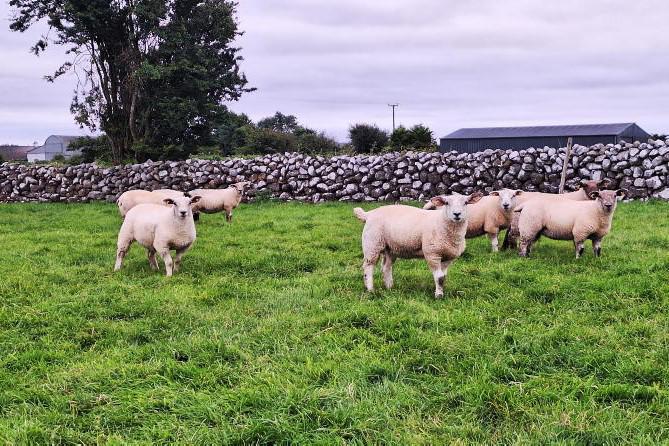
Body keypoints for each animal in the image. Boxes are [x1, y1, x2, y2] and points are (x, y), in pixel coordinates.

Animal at [354, 192, 483, 298]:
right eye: (446, 203)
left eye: (466, 202)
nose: (457, 214)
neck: (441, 222)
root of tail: (369, 214)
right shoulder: (432, 254)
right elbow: (439, 277)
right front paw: (438, 296)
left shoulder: (448, 257)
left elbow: (443, 277)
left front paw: (441, 291)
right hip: (372, 244)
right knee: (368, 267)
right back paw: (371, 289)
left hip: (390, 248)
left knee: (386, 267)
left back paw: (389, 287)